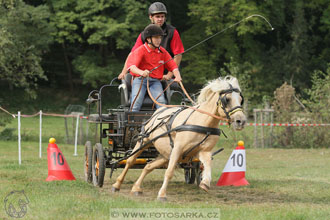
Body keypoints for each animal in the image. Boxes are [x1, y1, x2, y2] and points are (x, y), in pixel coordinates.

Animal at [112, 76, 246, 201]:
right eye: (227, 99)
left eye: (240, 99)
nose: (241, 121)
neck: (203, 122)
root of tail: (157, 111)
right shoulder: (178, 148)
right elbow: (169, 172)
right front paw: (162, 195)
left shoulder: (204, 151)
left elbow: (207, 165)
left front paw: (205, 183)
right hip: (144, 141)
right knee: (130, 161)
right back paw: (117, 185)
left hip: (165, 154)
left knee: (148, 166)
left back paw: (136, 188)